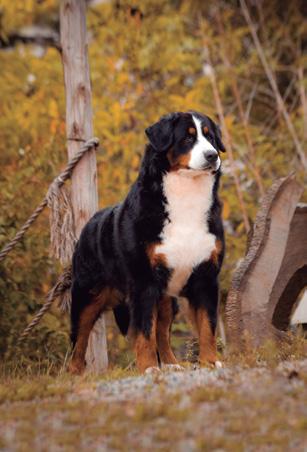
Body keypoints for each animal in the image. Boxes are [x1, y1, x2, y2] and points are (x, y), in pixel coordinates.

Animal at [69, 110, 226, 374]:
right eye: (187, 138)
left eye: (210, 137)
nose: (212, 155)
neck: (186, 198)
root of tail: (90, 222)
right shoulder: (143, 281)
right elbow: (144, 332)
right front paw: (149, 368)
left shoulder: (206, 276)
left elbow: (208, 326)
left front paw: (210, 362)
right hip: (86, 294)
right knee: (78, 339)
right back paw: (75, 374)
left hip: (166, 298)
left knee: (162, 332)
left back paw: (172, 364)